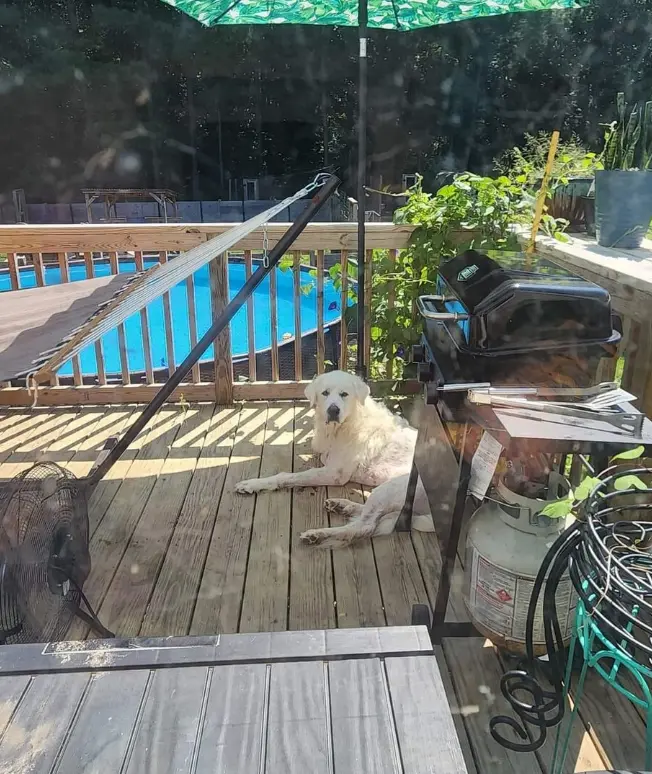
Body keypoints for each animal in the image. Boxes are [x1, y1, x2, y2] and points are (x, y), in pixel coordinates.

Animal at [235, 370, 433, 548]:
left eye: (344, 394)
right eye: (325, 393)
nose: (333, 410)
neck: (344, 426)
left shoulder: (335, 473)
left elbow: (289, 476)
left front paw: (254, 483)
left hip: (393, 488)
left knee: (364, 526)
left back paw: (317, 534)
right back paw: (342, 506)